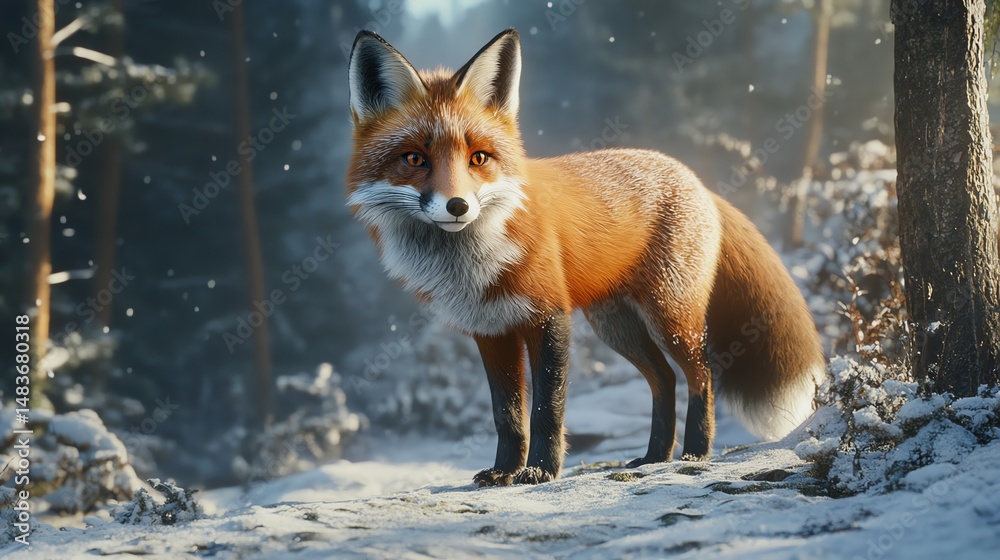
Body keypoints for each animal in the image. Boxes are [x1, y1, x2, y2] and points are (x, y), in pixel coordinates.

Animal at [346, 29, 825, 486]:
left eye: (478, 158)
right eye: (414, 159)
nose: (458, 206)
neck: (472, 264)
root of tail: (695, 179)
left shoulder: (548, 316)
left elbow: (546, 410)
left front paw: (539, 471)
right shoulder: (491, 331)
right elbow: (507, 416)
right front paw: (503, 473)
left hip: (670, 314)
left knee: (702, 374)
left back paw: (694, 453)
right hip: (616, 326)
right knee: (664, 379)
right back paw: (655, 456)